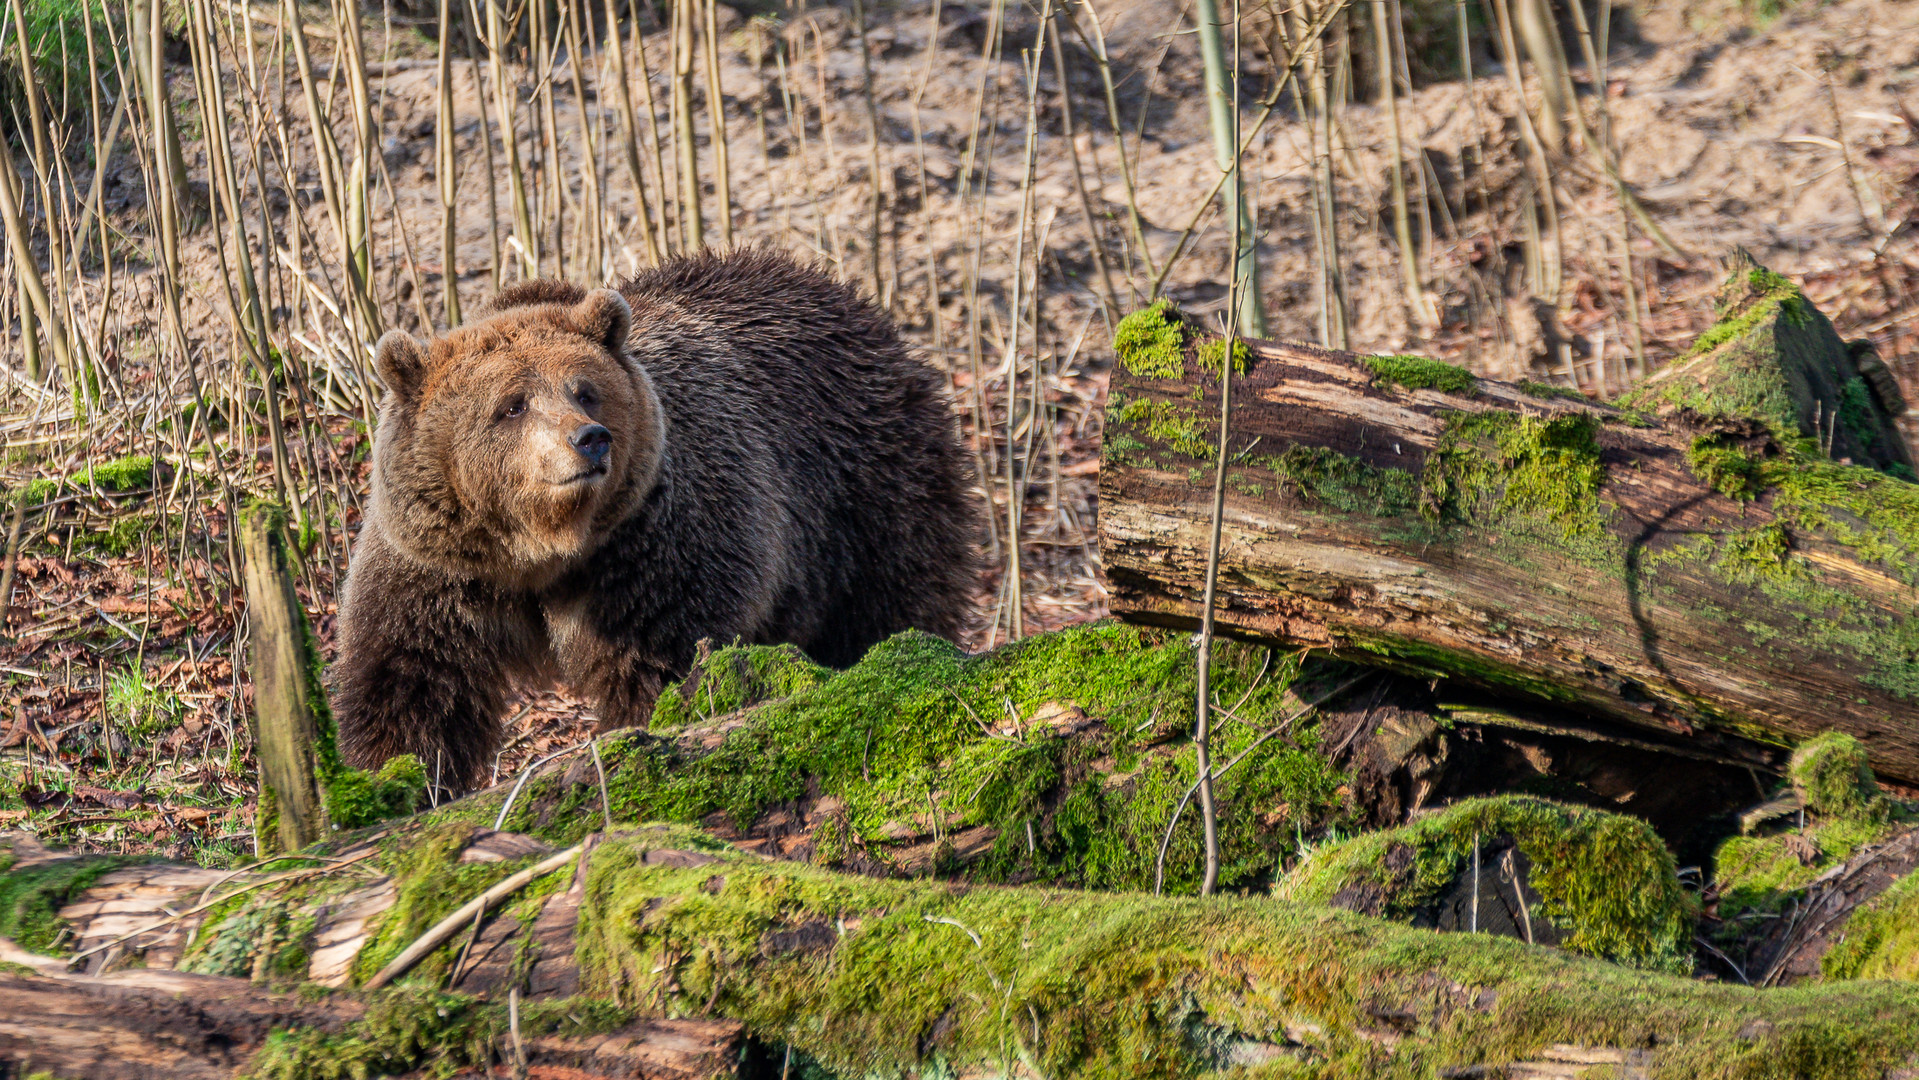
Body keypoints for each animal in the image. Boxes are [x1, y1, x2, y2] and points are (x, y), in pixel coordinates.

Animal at [328, 247, 974, 786]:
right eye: (511, 405)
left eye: (584, 390)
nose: (589, 439)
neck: (542, 552)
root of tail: (849, 300)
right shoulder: (438, 569)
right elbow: (410, 682)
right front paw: (394, 779)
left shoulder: (653, 542)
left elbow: (661, 657)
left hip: (866, 486)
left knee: (888, 601)